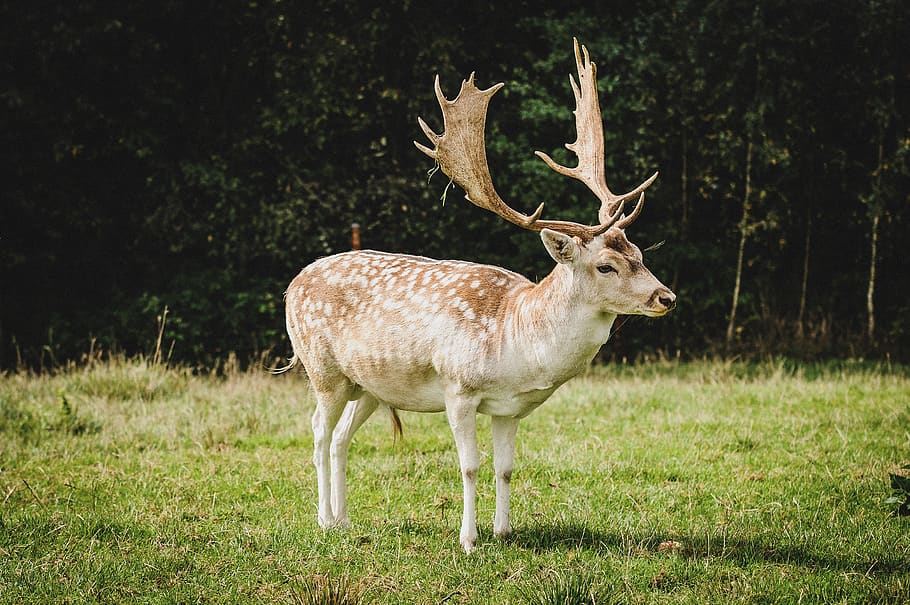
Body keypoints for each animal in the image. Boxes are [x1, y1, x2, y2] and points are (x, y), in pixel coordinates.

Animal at [283, 39, 676, 553]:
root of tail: (291, 285)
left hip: (367, 383)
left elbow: (505, 468)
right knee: (316, 432)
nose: (666, 297)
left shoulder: (510, 408)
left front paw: (504, 531)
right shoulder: (459, 388)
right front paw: (469, 540)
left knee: (341, 438)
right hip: (321, 369)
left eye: (639, 252)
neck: (517, 340)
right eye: (605, 265)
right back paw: (324, 520)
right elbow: (469, 465)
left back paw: (345, 520)